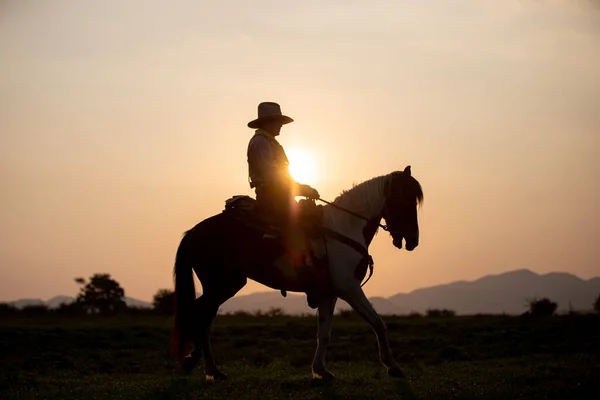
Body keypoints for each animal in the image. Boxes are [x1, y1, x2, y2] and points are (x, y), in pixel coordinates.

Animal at [171, 165, 424, 382]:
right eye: (404, 200)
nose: (413, 240)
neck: (344, 228)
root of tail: (193, 231)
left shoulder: (328, 293)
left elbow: (324, 332)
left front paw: (321, 370)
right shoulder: (349, 288)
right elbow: (378, 323)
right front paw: (393, 366)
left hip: (222, 285)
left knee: (203, 316)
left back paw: (205, 366)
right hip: (222, 284)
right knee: (201, 316)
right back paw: (208, 368)